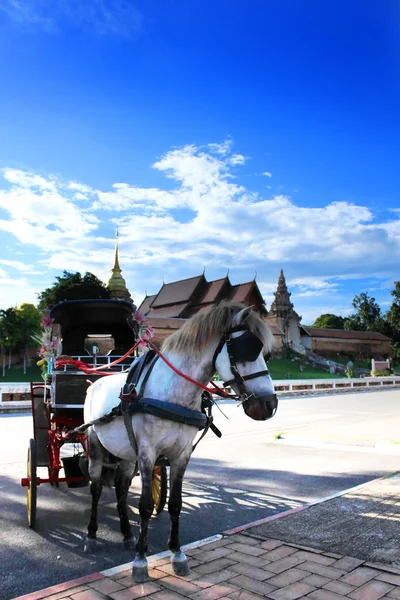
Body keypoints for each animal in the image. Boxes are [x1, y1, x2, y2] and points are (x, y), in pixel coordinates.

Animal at [83, 304, 278, 580]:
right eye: (247, 349)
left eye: (266, 354)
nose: (270, 404)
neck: (174, 393)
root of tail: (95, 382)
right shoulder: (147, 453)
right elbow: (145, 505)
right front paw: (140, 560)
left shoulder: (181, 454)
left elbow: (175, 504)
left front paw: (177, 553)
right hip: (95, 443)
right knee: (97, 487)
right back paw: (91, 535)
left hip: (125, 453)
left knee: (121, 486)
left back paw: (127, 534)